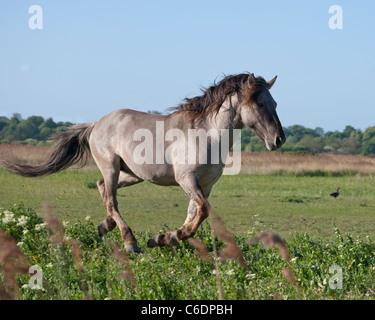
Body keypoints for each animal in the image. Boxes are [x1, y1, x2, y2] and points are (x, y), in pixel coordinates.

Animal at [0, 72, 286, 252]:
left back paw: (106, 226)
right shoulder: (187, 180)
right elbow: (202, 212)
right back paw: (129, 241)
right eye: (260, 104)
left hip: (131, 174)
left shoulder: (205, 186)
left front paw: (165, 238)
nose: (279, 139)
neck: (206, 133)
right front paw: (168, 237)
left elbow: (194, 215)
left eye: (274, 103)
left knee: (101, 188)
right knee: (111, 199)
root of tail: (97, 123)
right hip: (112, 168)